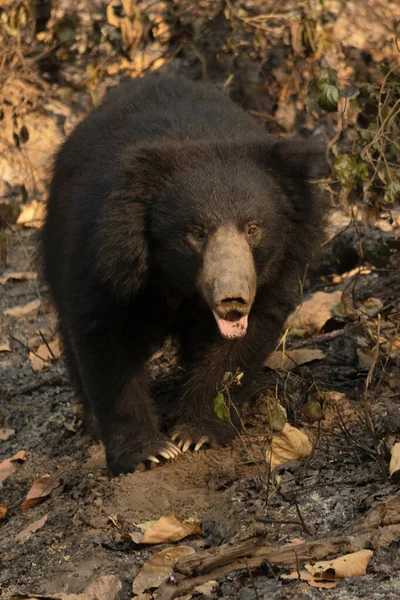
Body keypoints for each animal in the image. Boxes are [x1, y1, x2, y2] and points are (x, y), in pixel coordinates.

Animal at [40, 77, 326, 476]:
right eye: (196, 233)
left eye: (252, 228)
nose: (233, 299)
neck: (179, 281)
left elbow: (238, 346)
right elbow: (105, 339)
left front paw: (197, 432)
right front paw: (148, 452)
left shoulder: (277, 269)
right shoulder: (104, 257)